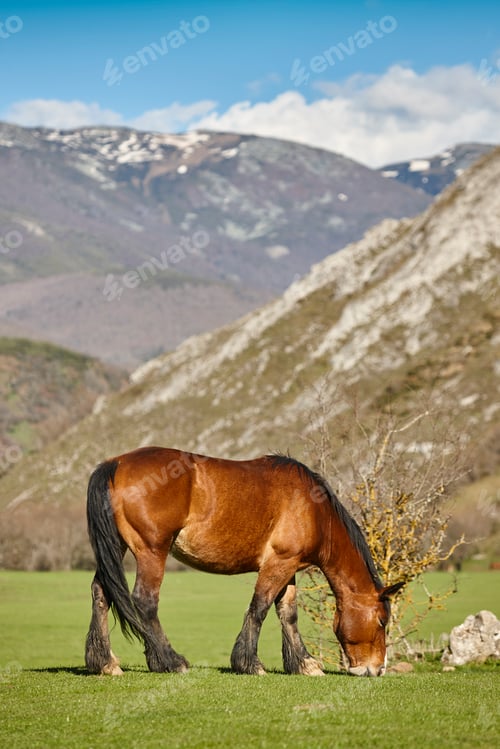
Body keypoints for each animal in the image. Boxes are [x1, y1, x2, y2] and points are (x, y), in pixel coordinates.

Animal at [85, 447, 404, 677]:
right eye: (381, 621)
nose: (377, 670)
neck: (314, 509)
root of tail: (116, 463)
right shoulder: (278, 564)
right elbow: (259, 608)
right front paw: (249, 663)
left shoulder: (288, 567)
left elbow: (287, 614)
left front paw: (304, 664)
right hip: (152, 551)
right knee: (145, 602)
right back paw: (170, 661)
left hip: (119, 547)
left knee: (101, 593)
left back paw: (105, 663)